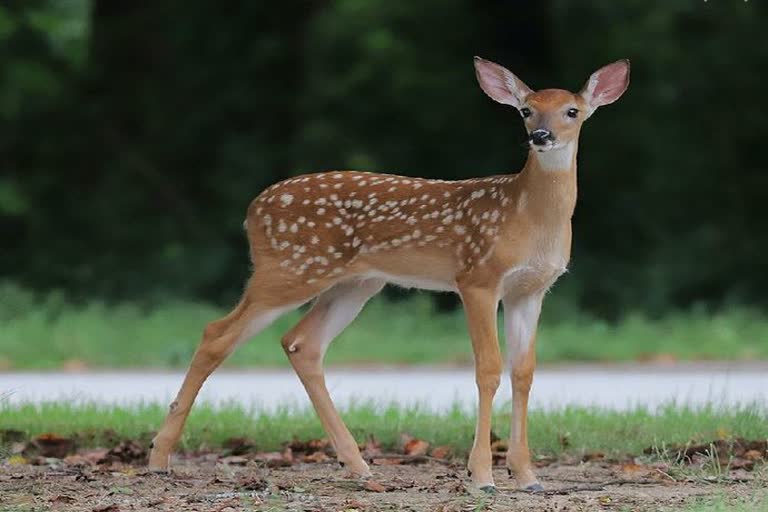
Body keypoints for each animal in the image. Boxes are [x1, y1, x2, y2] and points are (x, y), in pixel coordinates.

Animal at [146, 56, 632, 492]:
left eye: (572, 111)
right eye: (525, 109)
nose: (540, 135)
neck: (526, 216)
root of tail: (252, 211)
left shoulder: (530, 290)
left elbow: (524, 372)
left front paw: (528, 475)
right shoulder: (477, 276)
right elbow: (488, 368)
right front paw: (482, 476)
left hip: (355, 282)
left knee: (301, 342)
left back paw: (358, 465)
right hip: (289, 268)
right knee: (217, 333)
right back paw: (158, 458)